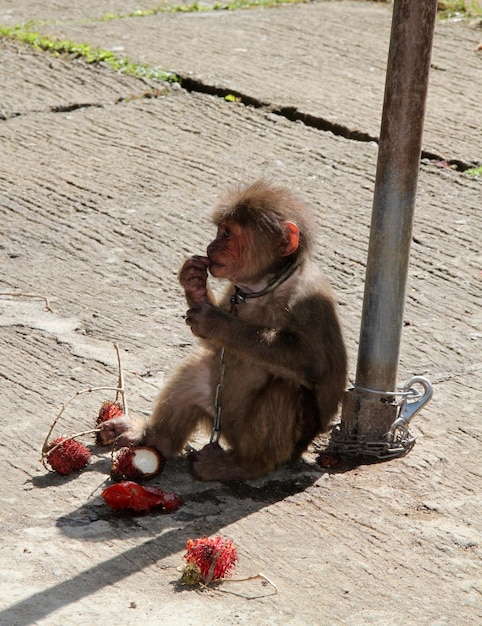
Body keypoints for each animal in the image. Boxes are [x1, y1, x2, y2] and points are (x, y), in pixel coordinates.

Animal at [100, 178, 346, 480]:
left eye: (227, 234)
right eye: (219, 231)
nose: (211, 246)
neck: (265, 285)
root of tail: (229, 438)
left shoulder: (308, 301)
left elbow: (310, 363)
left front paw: (216, 321)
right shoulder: (234, 291)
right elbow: (215, 347)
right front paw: (194, 286)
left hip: (281, 441)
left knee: (286, 386)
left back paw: (245, 465)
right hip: (221, 415)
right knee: (198, 370)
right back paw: (153, 437)